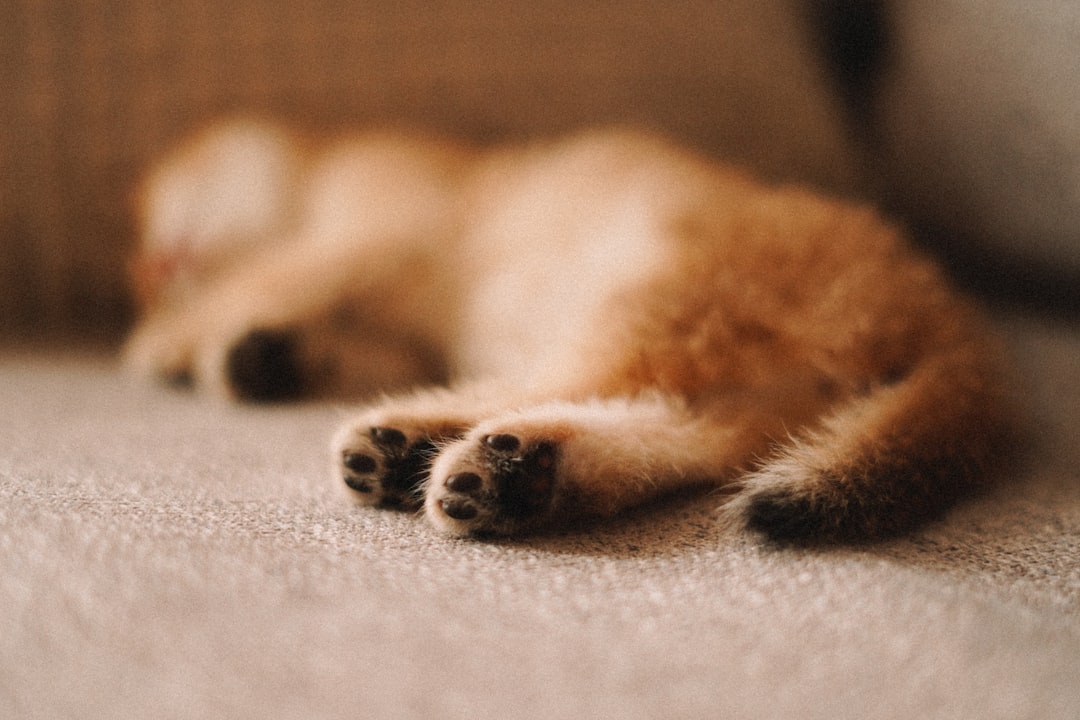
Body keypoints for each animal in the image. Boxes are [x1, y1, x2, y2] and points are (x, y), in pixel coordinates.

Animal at [122, 118, 1015, 544]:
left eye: (148, 210)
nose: (153, 270)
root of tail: (947, 310)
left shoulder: (381, 225)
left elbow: (270, 273)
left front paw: (169, 342)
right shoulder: (395, 316)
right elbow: (339, 333)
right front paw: (254, 358)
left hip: (651, 295)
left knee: (560, 383)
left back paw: (412, 442)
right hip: (742, 373)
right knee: (685, 433)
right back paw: (517, 476)